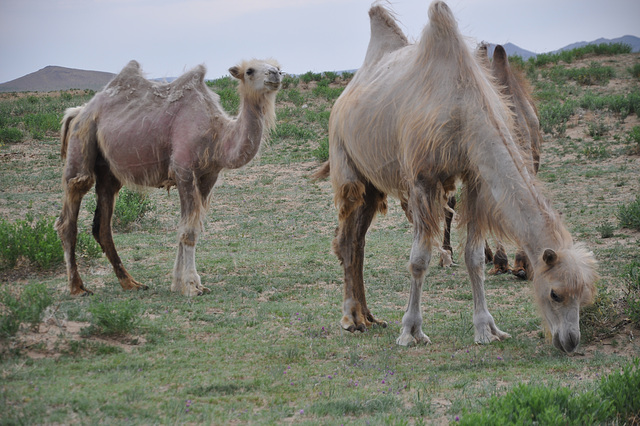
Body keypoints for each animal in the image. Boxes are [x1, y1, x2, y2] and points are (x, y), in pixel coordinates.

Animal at [56, 59, 282, 296]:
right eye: (250, 71)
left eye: (277, 67)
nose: (275, 74)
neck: (217, 136)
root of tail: (78, 111)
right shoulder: (183, 170)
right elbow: (189, 231)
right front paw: (191, 286)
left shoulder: (207, 178)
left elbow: (188, 226)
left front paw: (180, 283)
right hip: (82, 138)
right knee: (72, 203)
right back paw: (77, 287)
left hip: (108, 169)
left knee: (102, 224)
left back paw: (131, 283)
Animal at [320, 1, 600, 352]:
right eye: (555, 293)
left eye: (584, 294)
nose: (570, 341)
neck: (463, 107)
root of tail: (343, 97)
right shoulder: (422, 179)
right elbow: (419, 259)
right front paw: (410, 331)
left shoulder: (475, 176)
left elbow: (475, 257)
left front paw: (487, 329)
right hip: (345, 162)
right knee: (346, 239)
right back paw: (351, 319)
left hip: (373, 185)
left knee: (358, 242)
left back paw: (370, 317)